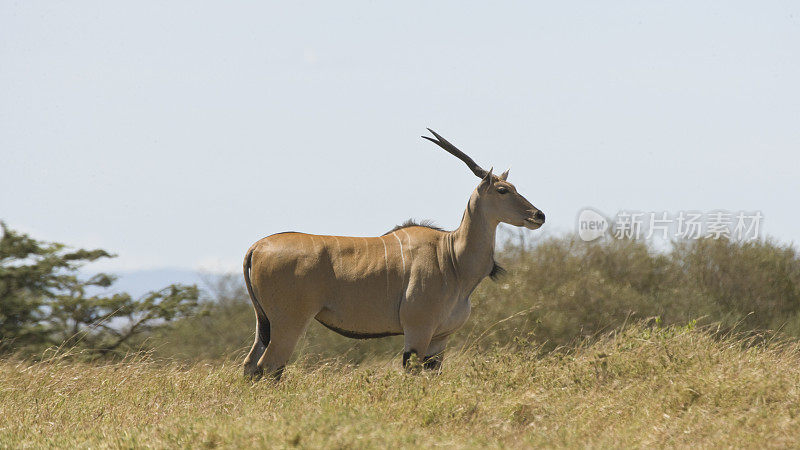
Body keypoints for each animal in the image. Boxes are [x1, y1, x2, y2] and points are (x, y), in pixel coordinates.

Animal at [244, 128, 544, 378]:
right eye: (503, 190)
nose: (538, 215)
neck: (451, 257)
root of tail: (257, 247)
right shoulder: (417, 332)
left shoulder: (439, 340)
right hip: (288, 324)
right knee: (268, 367)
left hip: (265, 324)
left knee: (251, 365)